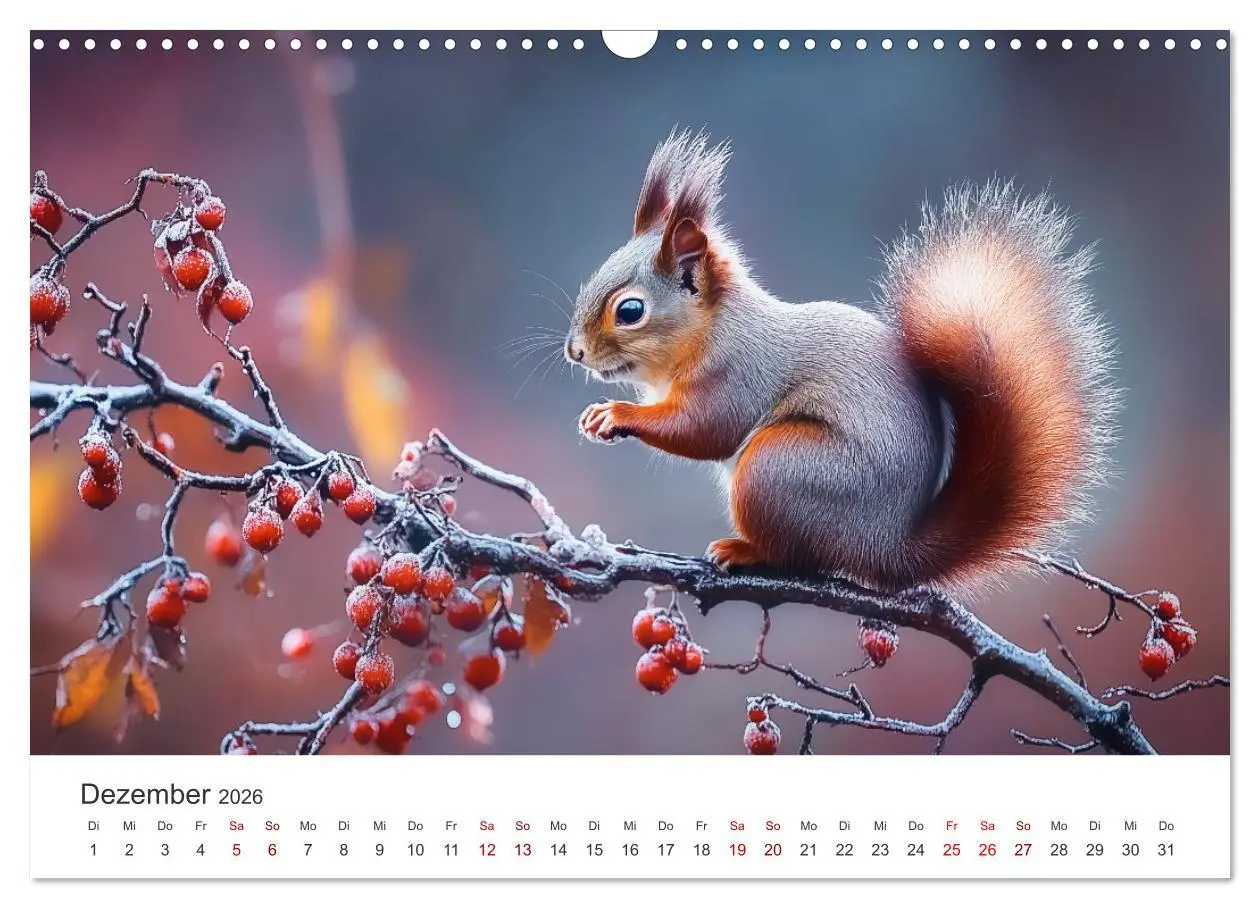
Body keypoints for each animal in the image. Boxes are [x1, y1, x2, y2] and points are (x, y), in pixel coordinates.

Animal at [565, 131, 1118, 593]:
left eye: (630, 311)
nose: (575, 351)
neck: (709, 329)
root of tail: (887, 549)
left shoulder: (739, 370)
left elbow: (707, 429)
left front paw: (618, 414)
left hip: (781, 469)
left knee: (797, 555)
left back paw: (745, 551)